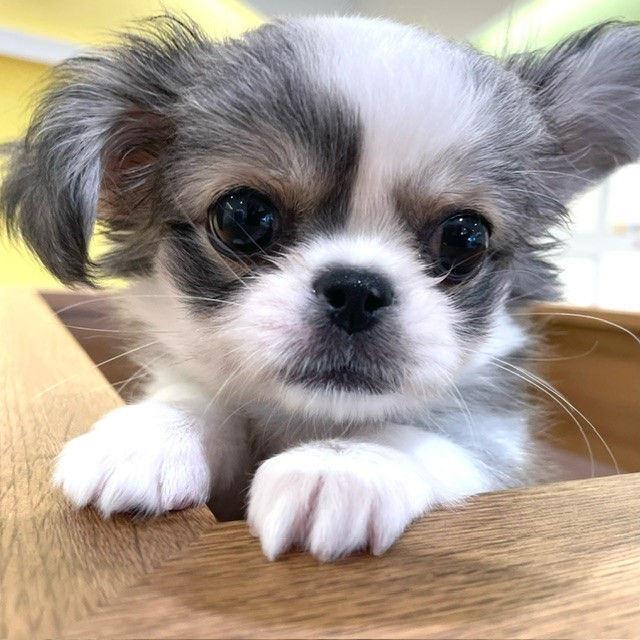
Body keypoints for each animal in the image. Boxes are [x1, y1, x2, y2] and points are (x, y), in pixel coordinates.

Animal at [2, 15, 639, 561]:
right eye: (243, 216)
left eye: (465, 237)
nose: (356, 289)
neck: (313, 419)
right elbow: (195, 396)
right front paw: (155, 432)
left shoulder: (499, 444)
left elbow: (422, 434)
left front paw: (344, 464)